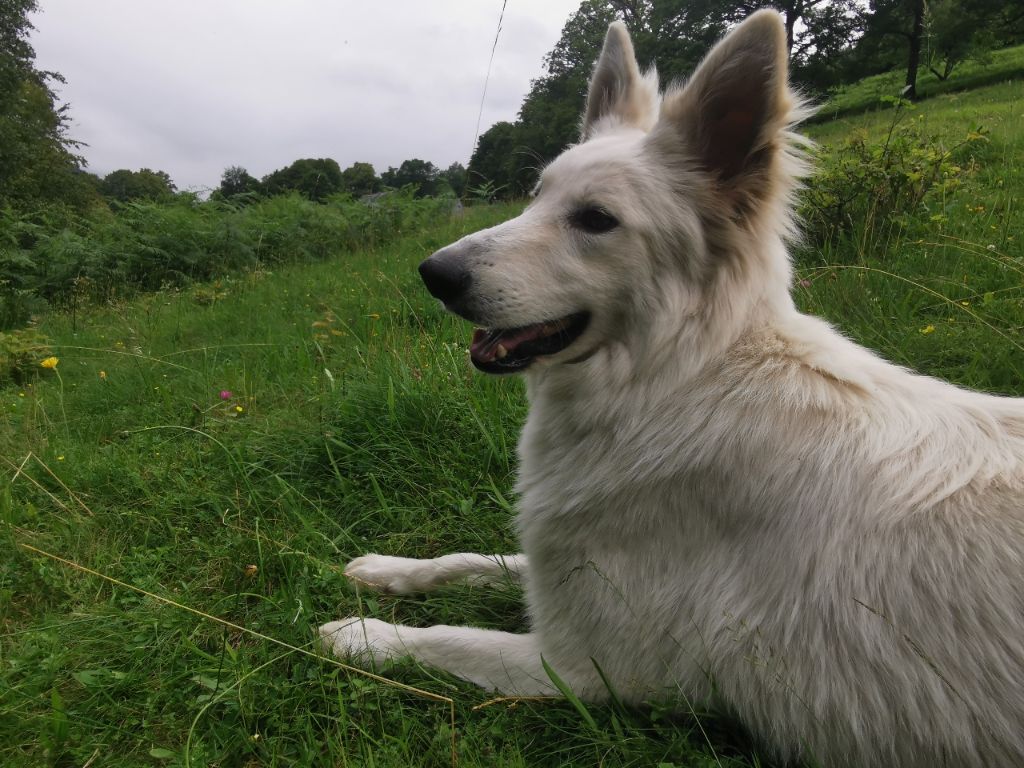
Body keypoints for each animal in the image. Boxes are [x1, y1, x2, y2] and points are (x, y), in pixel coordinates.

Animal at [323, 13, 1024, 768]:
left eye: (595, 219)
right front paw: (387, 570)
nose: (433, 273)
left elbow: (450, 639)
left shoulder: (586, 668)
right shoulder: (557, 573)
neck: (676, 376)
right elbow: (475, 559)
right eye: (536, 196)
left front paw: (362, 636)